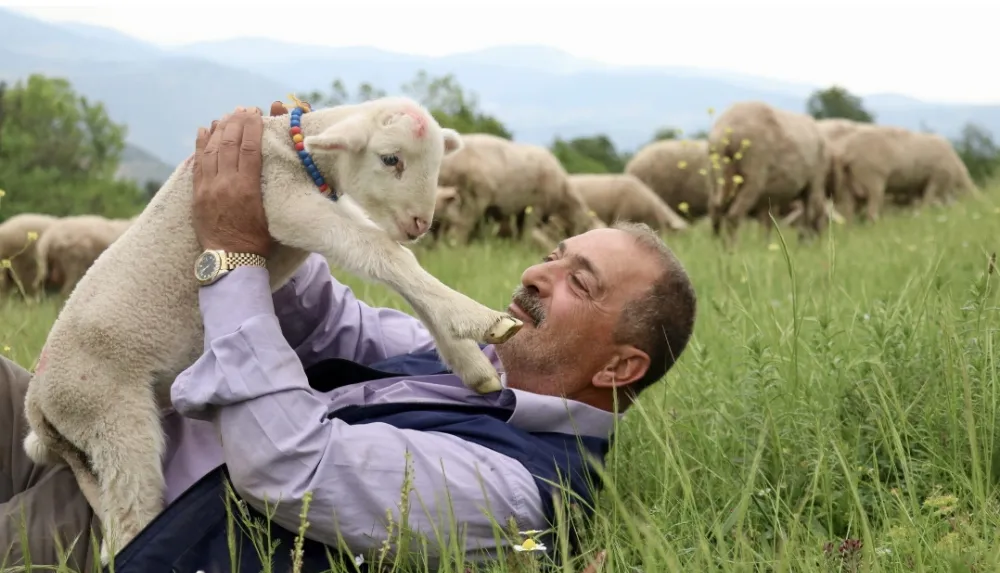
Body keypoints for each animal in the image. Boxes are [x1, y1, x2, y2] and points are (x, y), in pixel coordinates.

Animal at [21, 97, 524, 560]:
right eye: (390, 159)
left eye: (438, 163)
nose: (421, 224)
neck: (295, 152)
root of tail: (39, 407)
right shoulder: (282, 203)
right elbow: (383, 254)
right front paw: (480, 318)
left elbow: (396, 265)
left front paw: (472, 362)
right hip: (109, 414)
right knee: (130, 517)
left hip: (90, 445)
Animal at [438, 133, 600, 242]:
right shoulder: (536, 207)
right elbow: (527, 231)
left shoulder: (522, 210)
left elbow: (520, 233)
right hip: (473, 197)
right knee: (462, 225)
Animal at [708, 100, 832, 244]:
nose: (820, 242)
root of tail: (728, 128)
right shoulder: (814, 181)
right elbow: (811, 214)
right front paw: (808, 244)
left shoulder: (767, 196)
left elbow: (767, 222)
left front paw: (765, 244)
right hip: (753, 171)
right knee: (734, 215)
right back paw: (732, 247)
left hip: (716, 174)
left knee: (715, 211)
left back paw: (716, 244)